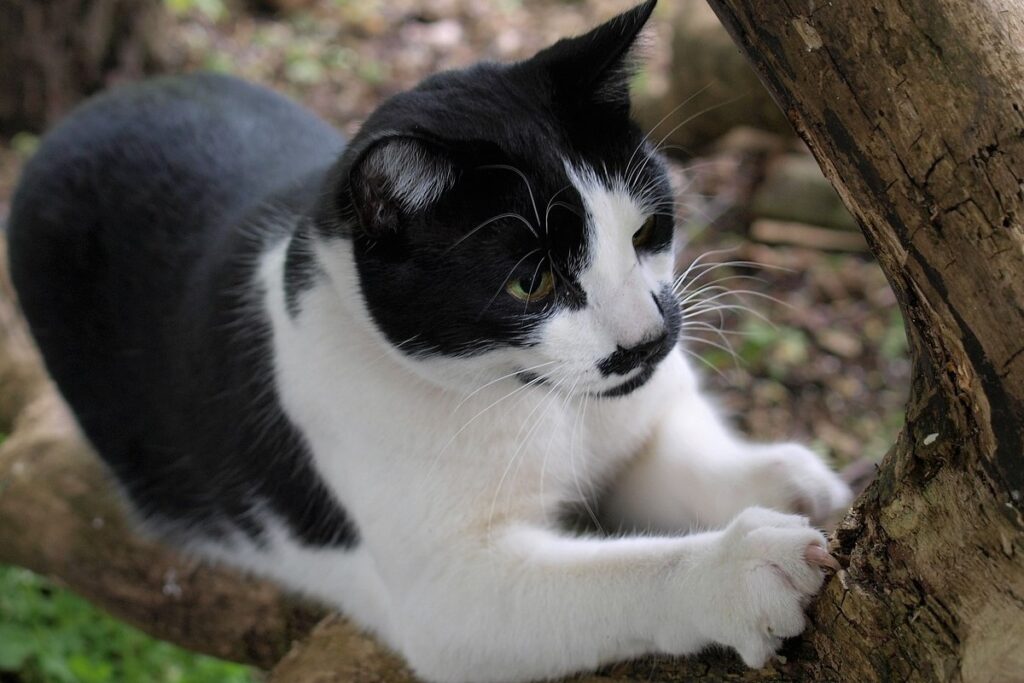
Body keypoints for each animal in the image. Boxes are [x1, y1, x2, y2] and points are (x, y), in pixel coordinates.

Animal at [9, 2, 847, 679]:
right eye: (531, 283)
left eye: (646, 230)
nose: (647, 338)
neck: (542, 402)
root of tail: (92, 109)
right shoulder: (448, 592)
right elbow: (616, 576)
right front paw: (739, 568)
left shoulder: (645, 408)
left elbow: (679, 450)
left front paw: (790, 479)